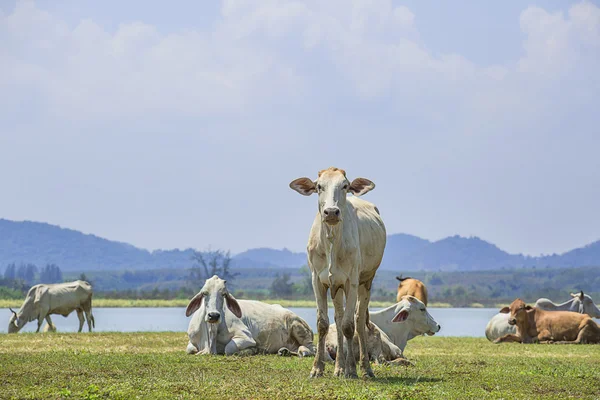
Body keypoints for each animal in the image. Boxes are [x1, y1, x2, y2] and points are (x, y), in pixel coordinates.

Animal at [185, 276, 316, 356]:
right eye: (204, 293)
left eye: (224, 294)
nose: (213, 315)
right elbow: (190, 349)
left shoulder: (245, 337)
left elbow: (229, 348)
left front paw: (253, 350)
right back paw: (284, 351)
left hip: (297, 326)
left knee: (312, 349)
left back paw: (303, 351)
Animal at [290, 166, 384, 378]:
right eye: (318, 186)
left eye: (345, 185)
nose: (331, 212)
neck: (331, 240)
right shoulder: (317, 281)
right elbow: (323, 323)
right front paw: (317, 368)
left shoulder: (352, 281)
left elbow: (349, 326)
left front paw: (352, 370)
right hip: (337, 287)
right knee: (338, 319)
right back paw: (339, 366)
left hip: (366, 281)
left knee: (358, 320)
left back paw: (363, 368)